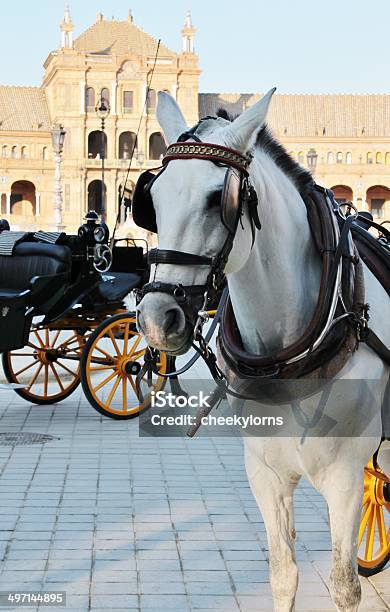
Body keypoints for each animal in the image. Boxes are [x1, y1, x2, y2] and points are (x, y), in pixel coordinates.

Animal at [136, 92, 388, 612]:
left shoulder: (346, 477)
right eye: (152, 198)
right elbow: (283, 575)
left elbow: (344, 584)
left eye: (219, 199)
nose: (156, 317)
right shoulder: (264, 472)